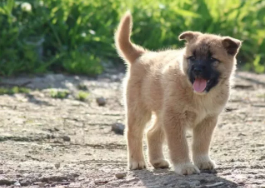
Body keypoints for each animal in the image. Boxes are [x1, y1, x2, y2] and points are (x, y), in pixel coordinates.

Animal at [114, 11, 240, 176]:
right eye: (192, 58)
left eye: (212, 59)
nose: (197, 70)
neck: (200, 96)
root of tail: (142, 55)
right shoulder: (175, 118)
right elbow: (179, 144)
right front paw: (185, 166)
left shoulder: (207, 120)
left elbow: (201, 143)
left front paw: (203, 161)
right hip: (139, 110)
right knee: (133, 132)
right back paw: (136, 162)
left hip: (161, 114)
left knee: (152, 133)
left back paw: (158, 161)